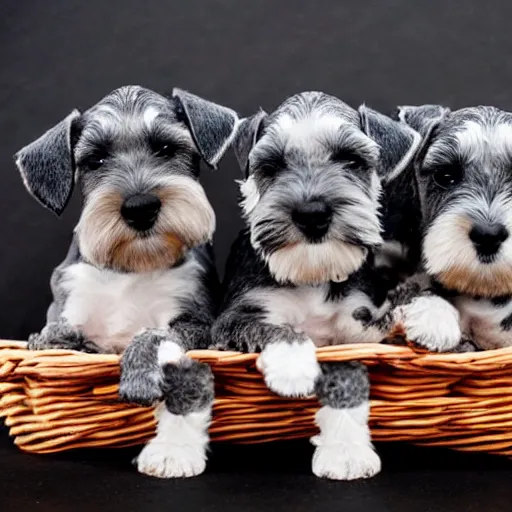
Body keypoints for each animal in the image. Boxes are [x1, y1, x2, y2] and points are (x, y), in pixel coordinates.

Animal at [15, 85, 239, 480]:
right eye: (96, 160)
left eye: (166, 148)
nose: (140, 207)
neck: (131, 268)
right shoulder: (68, 305)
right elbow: (56, 335)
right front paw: (55, 343)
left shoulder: (196, 323)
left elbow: (153, 335)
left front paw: (138, 375)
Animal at [211, 92, 420, 480]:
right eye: (272, 165)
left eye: (351, 159)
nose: (312, 214)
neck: (312, 277)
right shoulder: (235, 317)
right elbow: (273, 328)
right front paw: (293, 364)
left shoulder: (358, 325)